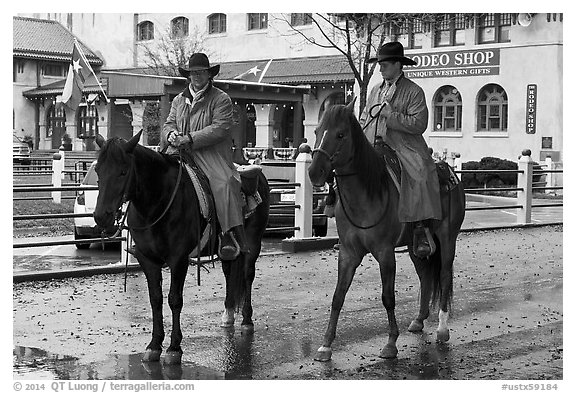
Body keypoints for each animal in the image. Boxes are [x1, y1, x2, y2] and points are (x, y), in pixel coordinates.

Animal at [94, 132, 270, 364]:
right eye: (98, 170)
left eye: (123, 171)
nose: (101, 216)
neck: (157, 202)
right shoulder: (147, 260)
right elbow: (155, 299)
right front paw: (154, 345)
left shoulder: (178, 259)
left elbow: (174, 300)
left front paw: (174, 348)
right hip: (229, 250)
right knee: (229, 272)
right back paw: (228, 314)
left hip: (253, 241)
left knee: (248, 274)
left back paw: (247, 320)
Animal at [308, 101, 466, 362]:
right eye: (317, 131)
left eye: (340, 134)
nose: (314, 172)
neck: (367, 192)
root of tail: (449, 170)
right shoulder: (348, 253)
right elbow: (338, 296)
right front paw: (325, 345)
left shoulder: (385, 253)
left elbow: (388, 297)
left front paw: (391, 343)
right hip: (415, 246)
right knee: (425, 276)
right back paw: (419, 319)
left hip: (447, 239)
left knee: (443, 275)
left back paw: (442, 329)